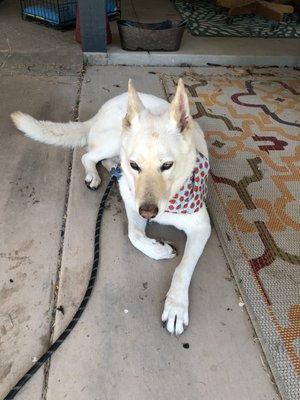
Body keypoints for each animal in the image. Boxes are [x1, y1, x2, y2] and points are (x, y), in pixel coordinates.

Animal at [11, 78, 211, 334]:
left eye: (167, 165)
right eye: (135, 165)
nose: (147, 212)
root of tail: (100, 112)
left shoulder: (201, 227)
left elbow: (183, 268)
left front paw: (176, 305)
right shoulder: (133, 206)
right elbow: (134, 236)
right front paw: (160, 250)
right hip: (116, 139)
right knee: (88, 156)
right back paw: (94, 175)